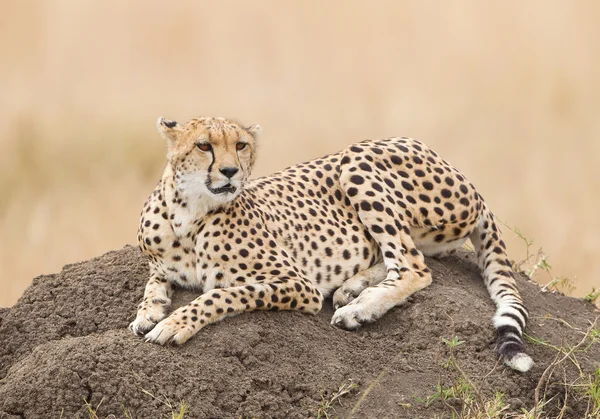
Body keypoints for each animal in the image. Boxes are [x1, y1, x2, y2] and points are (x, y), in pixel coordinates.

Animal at [129, 116, 532, 372]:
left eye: (240, 145)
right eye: (203, 146)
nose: (230, 171)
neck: (187, 213)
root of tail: (469, 183)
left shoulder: (298, 284)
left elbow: (222, 294)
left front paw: (175, 323)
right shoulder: (159, 263)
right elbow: (153, 282)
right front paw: (147, 313)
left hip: (357, 159)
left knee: (414, 267)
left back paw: (360, 308)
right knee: (410, 256)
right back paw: (353, 287)